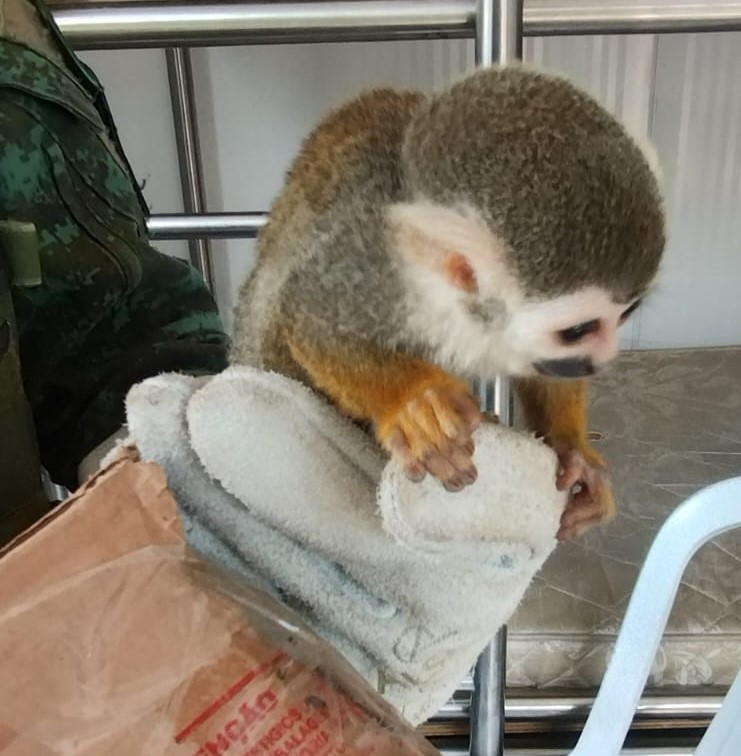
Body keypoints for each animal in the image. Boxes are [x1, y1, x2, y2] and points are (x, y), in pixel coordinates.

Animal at [231, 64, 666, 541]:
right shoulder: (374, 268)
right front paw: (414, 401)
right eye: (578, 331)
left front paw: (574, 452)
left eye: (626, 315)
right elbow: (311, 319)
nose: (603, 360)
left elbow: (546, 372)